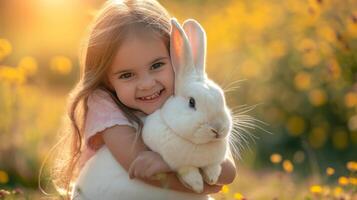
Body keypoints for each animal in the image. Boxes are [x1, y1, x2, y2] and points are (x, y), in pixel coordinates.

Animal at [142, 18, 234, 194]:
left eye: (222, 98)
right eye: (192, 102)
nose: (217, 129)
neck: (199, 145)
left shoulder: (215, 161)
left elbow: (213, 167)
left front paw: (211, 178)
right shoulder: (177, 163)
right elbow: (188, 170)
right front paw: (197, 185)